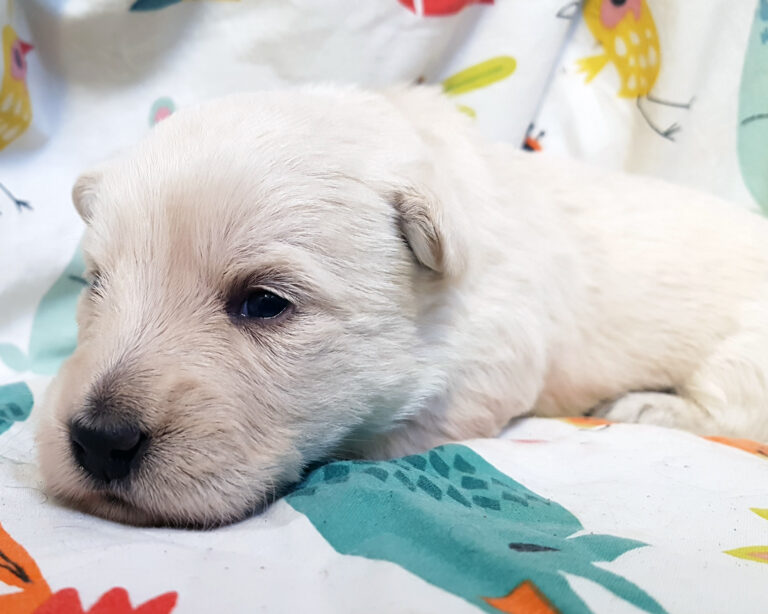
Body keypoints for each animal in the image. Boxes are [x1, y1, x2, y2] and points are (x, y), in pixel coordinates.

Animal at [37, 85, 768, 528]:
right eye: (96, 284)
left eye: (263, 303)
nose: (98, 441)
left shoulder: (489, 367)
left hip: (743, 351)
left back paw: (644, 404)